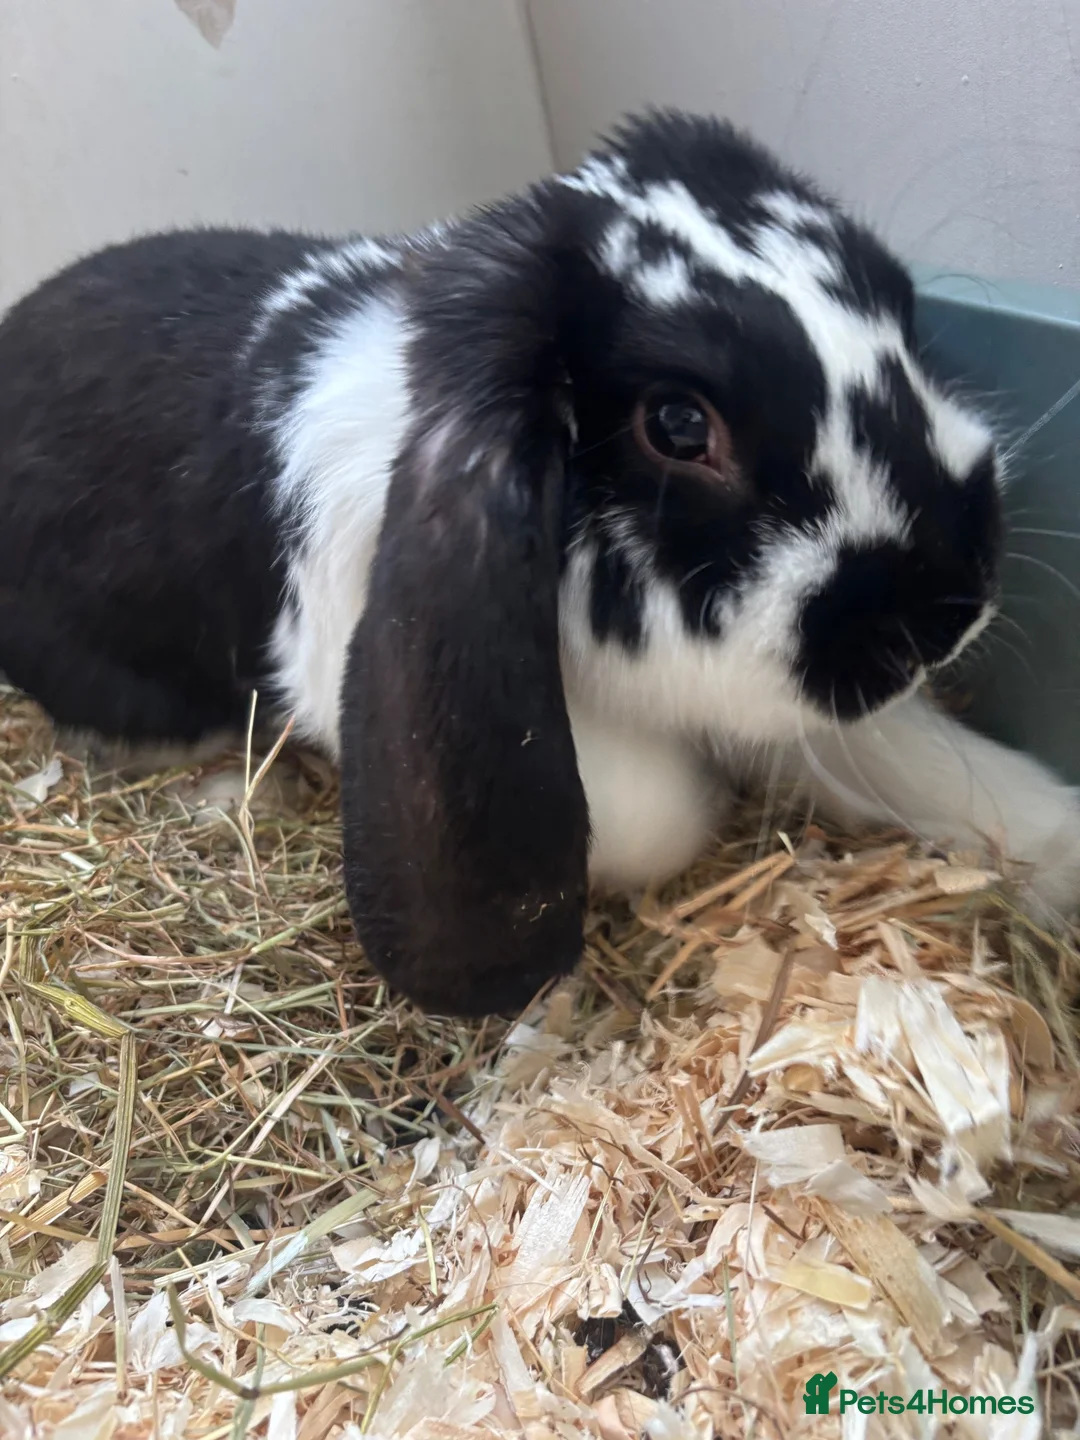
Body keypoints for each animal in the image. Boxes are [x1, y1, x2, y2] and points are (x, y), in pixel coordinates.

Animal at [1, 109, 1077, 1016]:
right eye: (677, 425)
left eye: (896, 300)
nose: (952, 600)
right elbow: (656, 813)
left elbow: (911, 757)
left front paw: (1058, 847)